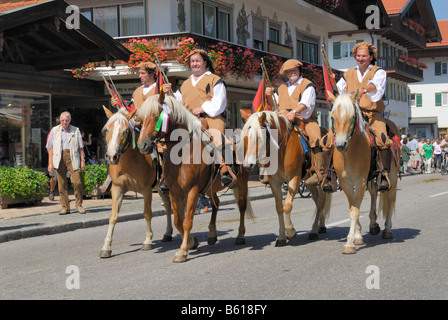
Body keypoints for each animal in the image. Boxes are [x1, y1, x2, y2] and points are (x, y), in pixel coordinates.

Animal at [99, 106, 173, 258]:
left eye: (125, 131)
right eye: (106, 130)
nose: (111, 156)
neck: (129, 161)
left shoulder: (146, 190)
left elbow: (147, 213)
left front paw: (148, 241)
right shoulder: (117, 189)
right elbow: (113, 216)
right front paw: (106, 247)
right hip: (160, 188)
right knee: (168, 207)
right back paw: (168, 233)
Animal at [136, 92, 254, 262]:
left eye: (155, 116)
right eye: (141, 118)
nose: (142, 145)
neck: (183, 151)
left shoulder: (192, 191)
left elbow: (187, 222)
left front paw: (182, 251)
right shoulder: (174, 192)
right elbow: (178, 221)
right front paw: (192, 242)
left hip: (243, 182)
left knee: (242, 206)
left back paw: (240, 236)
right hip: (211, 187)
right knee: (216, 204)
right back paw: (211, 234)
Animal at [242, 110, 332, 245]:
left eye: (258, 137)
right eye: (245, 138)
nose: (248, 165)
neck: (281, 150)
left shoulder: (294, 178)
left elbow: (287, 205)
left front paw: (290, 232)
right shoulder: (274, 181)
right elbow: (279, 207)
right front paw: (281, 237)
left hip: (321, 180)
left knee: (321, 202)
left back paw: (314, 230)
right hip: (309, 182)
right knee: (317, 202)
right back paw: (320, 226)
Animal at [328, 91, 400, 254]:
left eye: (351, 117)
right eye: (332, 117)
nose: (340, 144)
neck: (349, 153)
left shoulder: (360, 181)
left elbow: (355, 210)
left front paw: (349, 243)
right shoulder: (346, 183)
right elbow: (353, 207)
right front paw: (357, 235)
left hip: (392, 178)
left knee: (390, 200)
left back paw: (387, 230)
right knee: (373, 194)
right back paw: (373, 225)